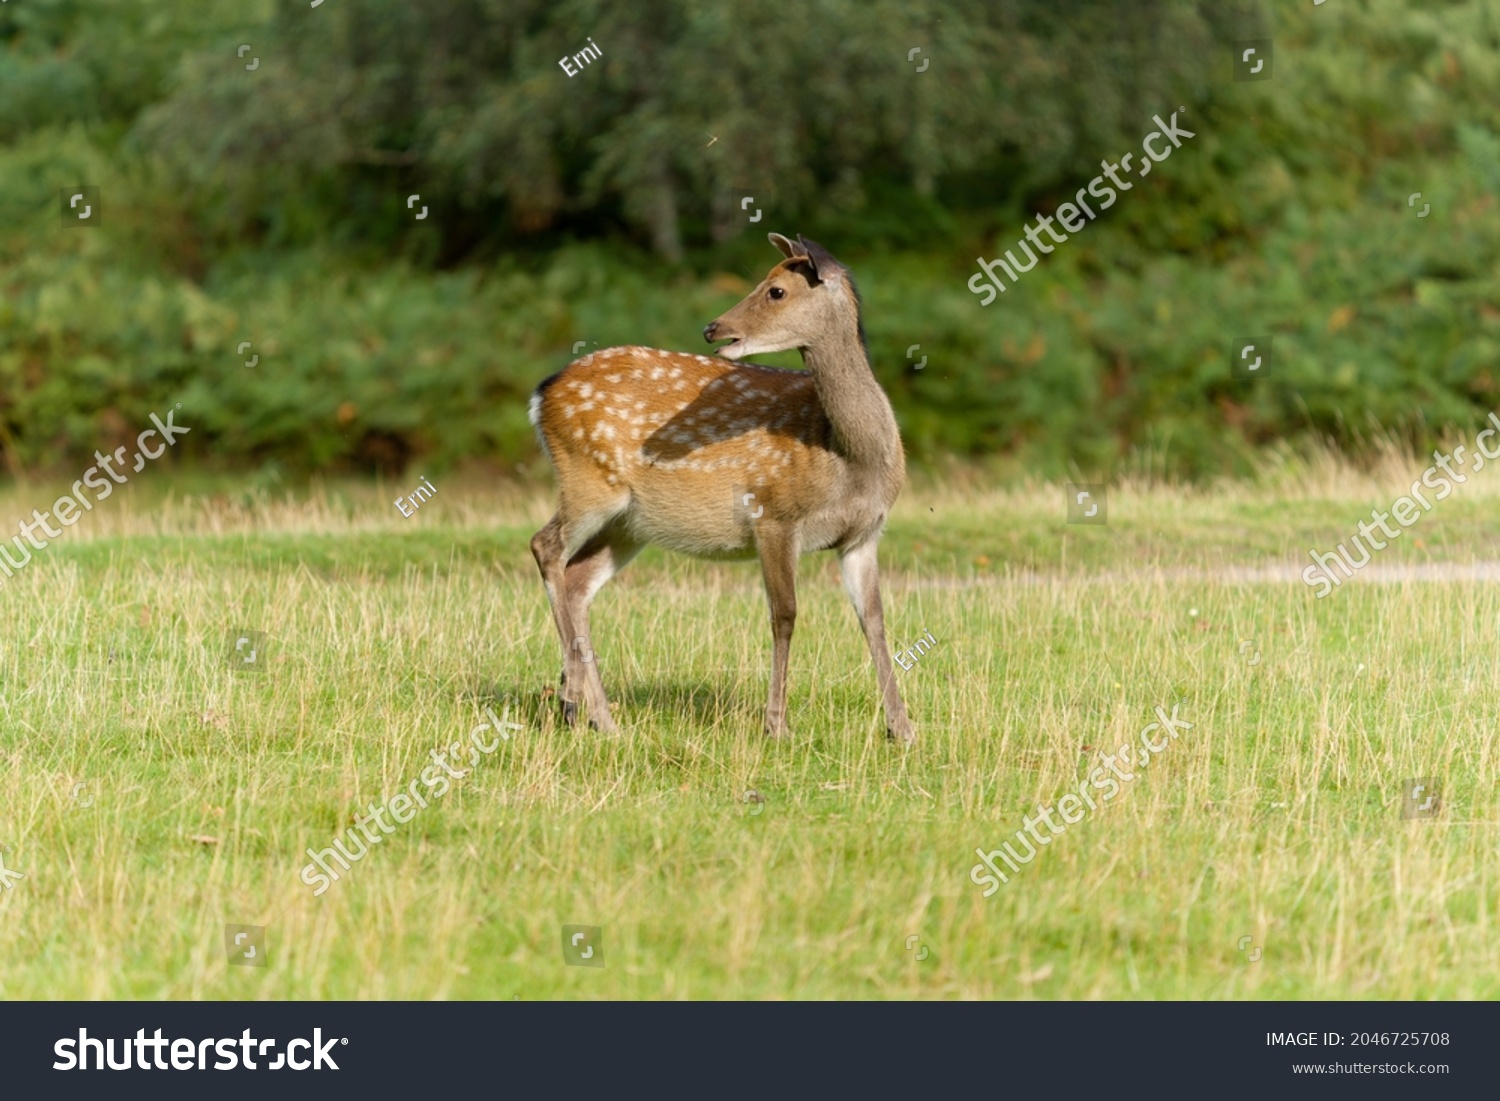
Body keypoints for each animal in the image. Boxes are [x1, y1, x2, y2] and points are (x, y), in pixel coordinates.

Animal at [528, 235, 912, 750]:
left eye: (775, 290)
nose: (713, 328)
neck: (848, 457)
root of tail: (541, 395)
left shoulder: (864, 534)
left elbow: (874, 619)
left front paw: (902, 728)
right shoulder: (773, 513)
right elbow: (785, 615)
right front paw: (777, 726)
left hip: (630, 522)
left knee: (577, 580)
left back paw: (597, 716)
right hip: (588, 480)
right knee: (545, 545)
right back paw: (576, 699)